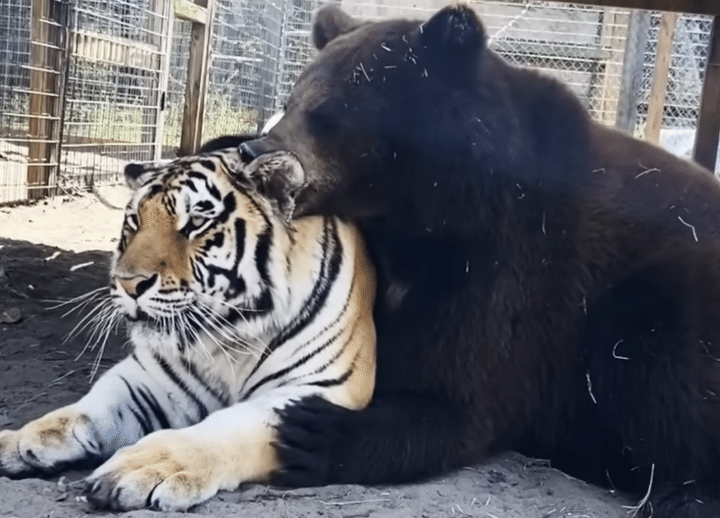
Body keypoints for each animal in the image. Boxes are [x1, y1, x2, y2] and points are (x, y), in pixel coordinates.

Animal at [0, 142, 376, 512]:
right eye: (134, 221)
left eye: (195, 222)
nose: (127, 283)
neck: (231, 335)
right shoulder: (151, 377)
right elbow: (86, 409)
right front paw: (18, 440)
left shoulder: (317, 391)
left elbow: (225, 429)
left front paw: (144, 467)